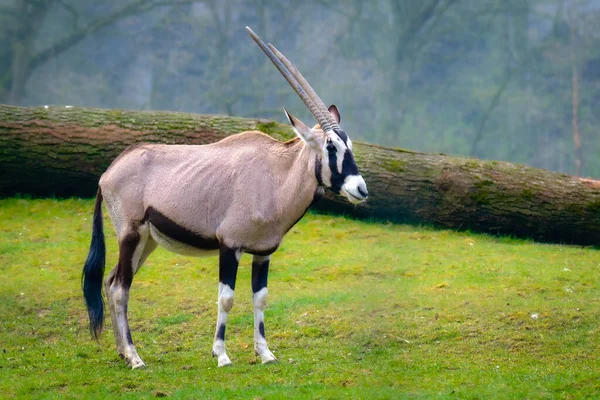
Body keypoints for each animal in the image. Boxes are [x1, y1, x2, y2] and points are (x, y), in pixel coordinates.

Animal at [82, 25, 368, 368]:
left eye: (348, 144)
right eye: (330, 146)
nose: (361, 189)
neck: (276, 174)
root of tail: (109, 173)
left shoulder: (263, 252)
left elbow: (261, 298)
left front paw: (265, 353)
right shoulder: (229, 246)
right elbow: (227, 298)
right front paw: (221, 354)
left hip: (146, 242)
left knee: (111, 281)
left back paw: (123, 352)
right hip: (130, 234)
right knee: (120, 288)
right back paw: (135, 357)